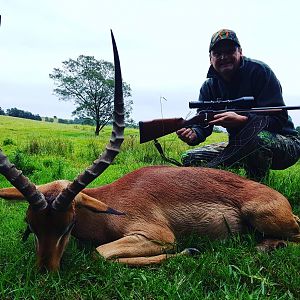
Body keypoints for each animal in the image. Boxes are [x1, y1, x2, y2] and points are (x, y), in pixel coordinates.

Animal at [0, 33, 300, 272]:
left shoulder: (159, 236)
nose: (45, 271)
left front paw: (191, 251)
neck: (111, 201)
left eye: (67, 225)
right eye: (31, 225)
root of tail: (279, 198)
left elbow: (98, 255)